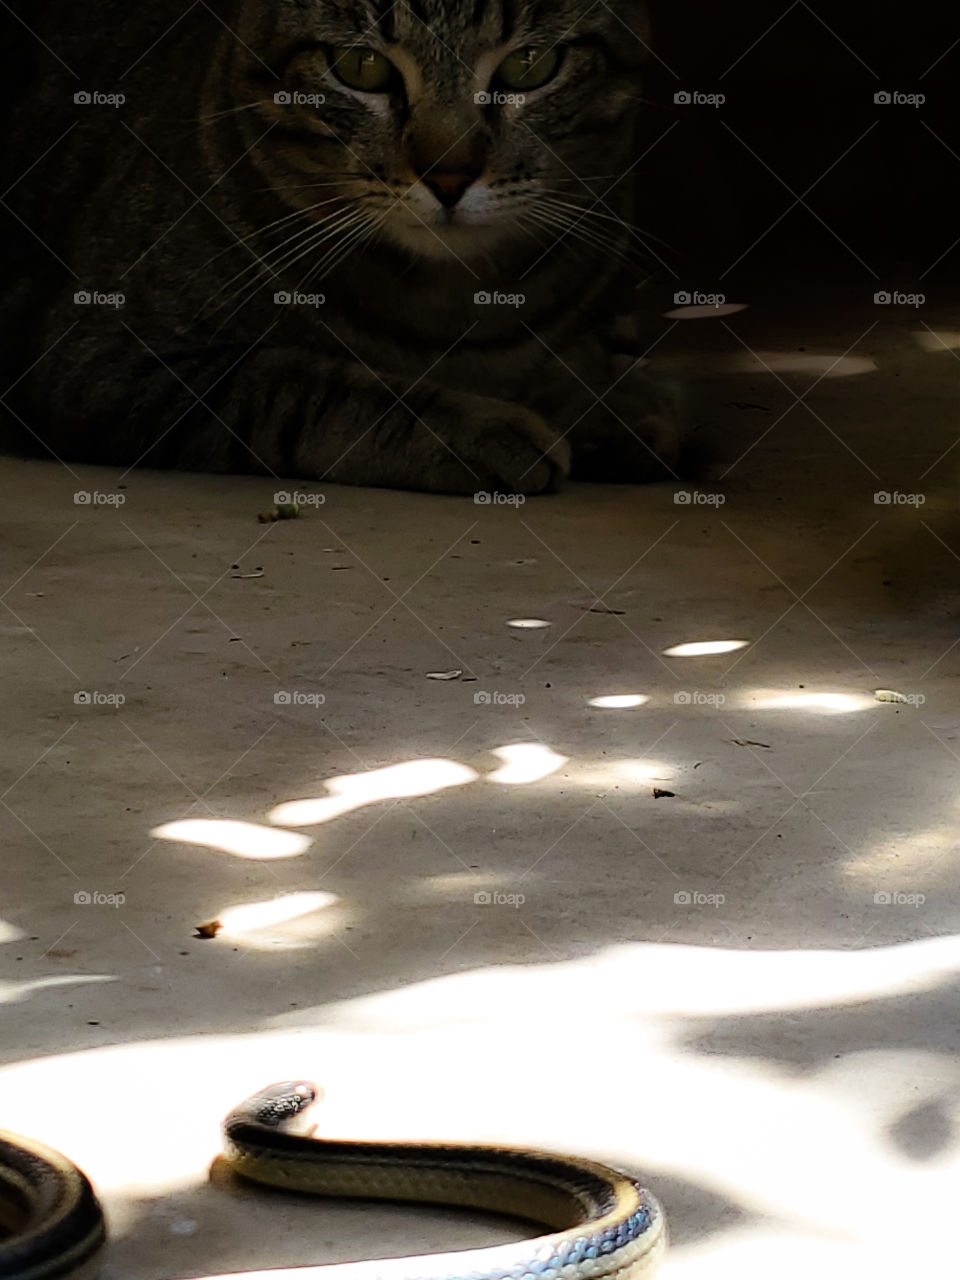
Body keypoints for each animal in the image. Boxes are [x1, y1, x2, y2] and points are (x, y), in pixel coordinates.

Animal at [0, 0, 680, 494]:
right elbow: (303, 384)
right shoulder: (101, 359)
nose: (448, 174)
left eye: (530, 65)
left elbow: (576, 362)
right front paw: (482, 425)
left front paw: (611, 406)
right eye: (361, 67)